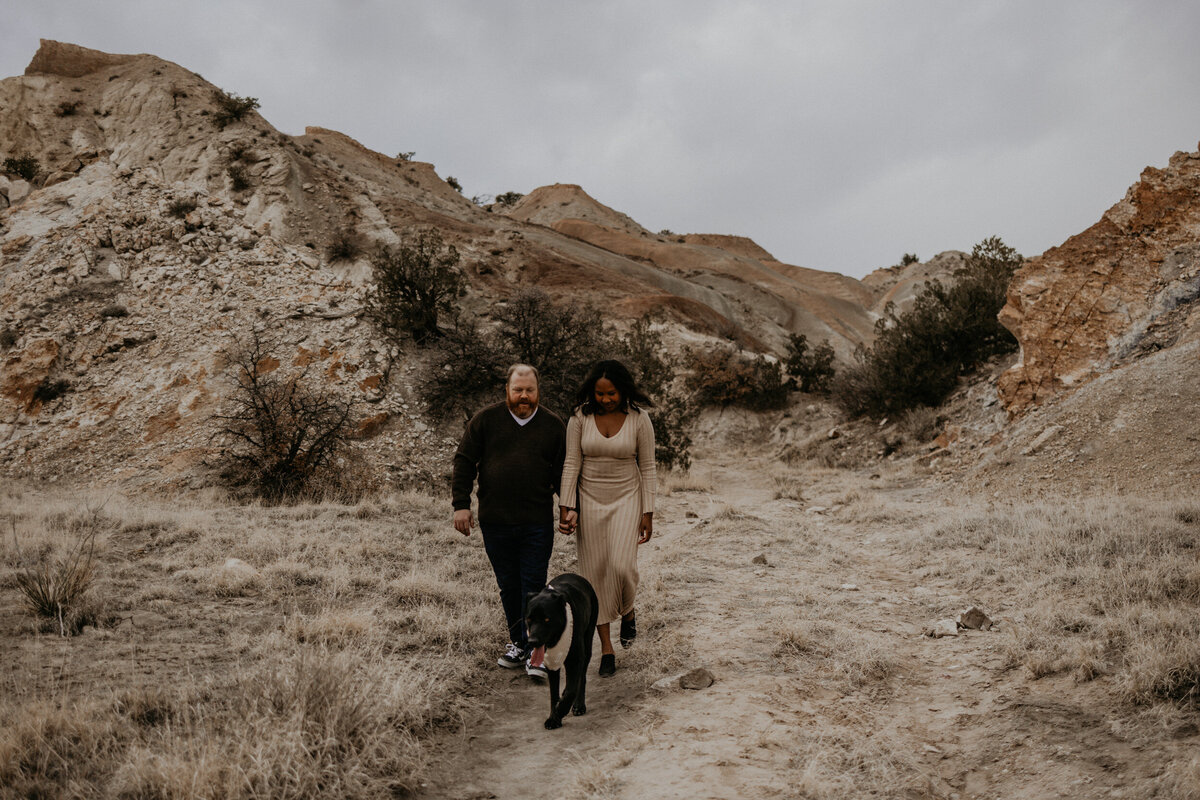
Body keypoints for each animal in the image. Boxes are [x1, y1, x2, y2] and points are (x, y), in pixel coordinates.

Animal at [525, 568, 600, 734]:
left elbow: (572, 689)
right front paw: (554, 717)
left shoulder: (576, 658)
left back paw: (579, 705)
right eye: (529, 619)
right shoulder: (551, 661)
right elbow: (554, 694)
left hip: (587, 643)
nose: (532, 641)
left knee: (581, 678)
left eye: (547, 619)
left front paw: (560, 712)